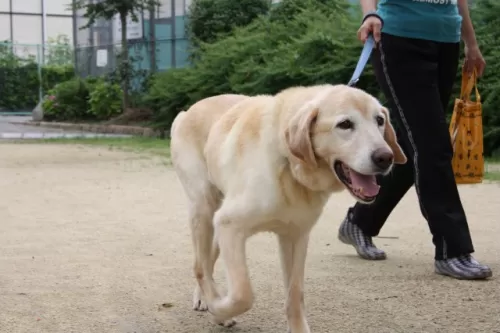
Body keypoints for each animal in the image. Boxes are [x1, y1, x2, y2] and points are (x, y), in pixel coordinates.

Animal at [170, 84, 404, 330]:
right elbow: (243, 294)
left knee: (206, 263)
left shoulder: (295, 236)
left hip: (215, 225)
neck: (289, 164)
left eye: (379, 120)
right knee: (200, 266)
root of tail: (186, 112)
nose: (385, 157)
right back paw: (210, 302)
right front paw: (218, 310)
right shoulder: (230, 226)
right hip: (204, 210)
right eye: (345, 124)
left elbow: (295, 294)